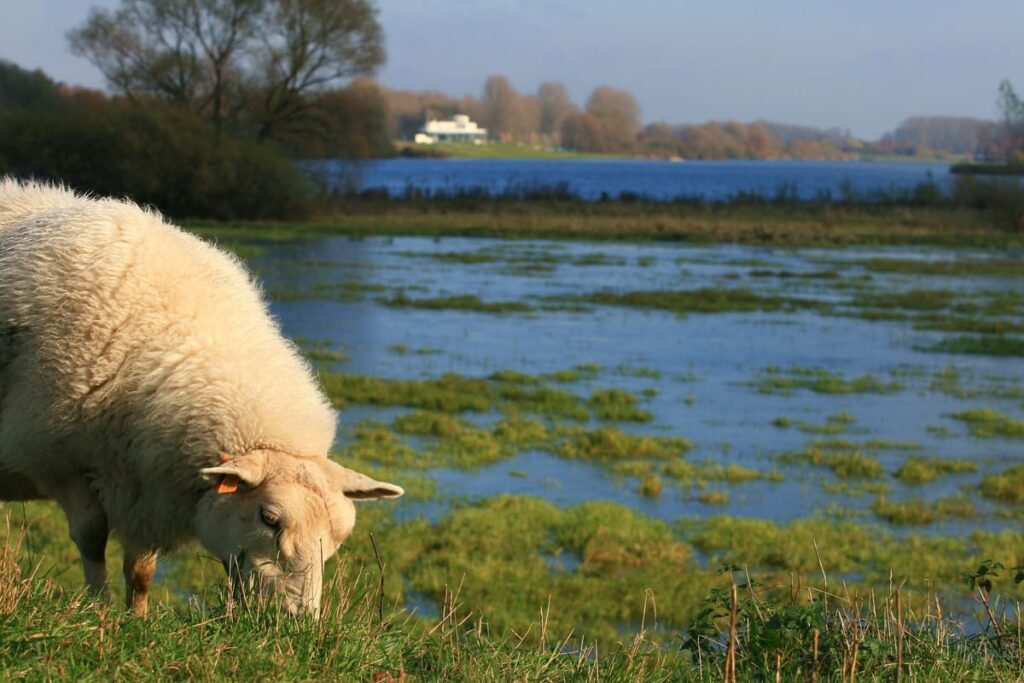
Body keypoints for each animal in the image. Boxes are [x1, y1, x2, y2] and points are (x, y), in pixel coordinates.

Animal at [0, 179, 401, 618]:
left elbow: (140, 568)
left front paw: (136, 618)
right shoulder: (60, 461)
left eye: (339, 535)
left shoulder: (148, 481)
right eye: (269, 518)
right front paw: (98, 609)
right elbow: (91, 538)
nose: (298, 623)